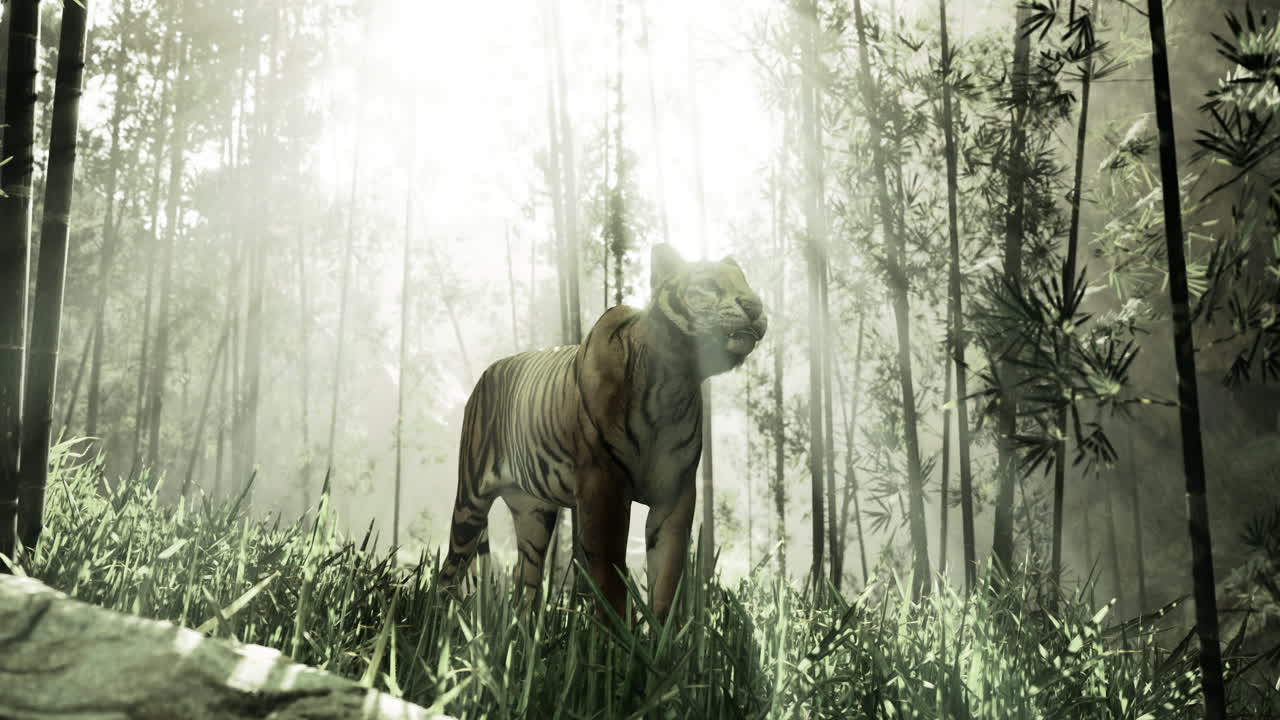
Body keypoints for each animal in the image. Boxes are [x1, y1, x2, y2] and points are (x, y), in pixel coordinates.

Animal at [437, 243, 767, 622]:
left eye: (746, 283)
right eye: (710, 285)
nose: (755, 307)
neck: (674, 382)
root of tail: (487, 372)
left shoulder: (676, 493)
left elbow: (667, 576)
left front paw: (663, 634)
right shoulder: (603, 484)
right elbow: (610, 574)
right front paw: (617, 634)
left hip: (534, 513)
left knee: (526, 579)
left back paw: (523, 627)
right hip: (471, 500)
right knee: (449, 569)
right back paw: (440, 620)